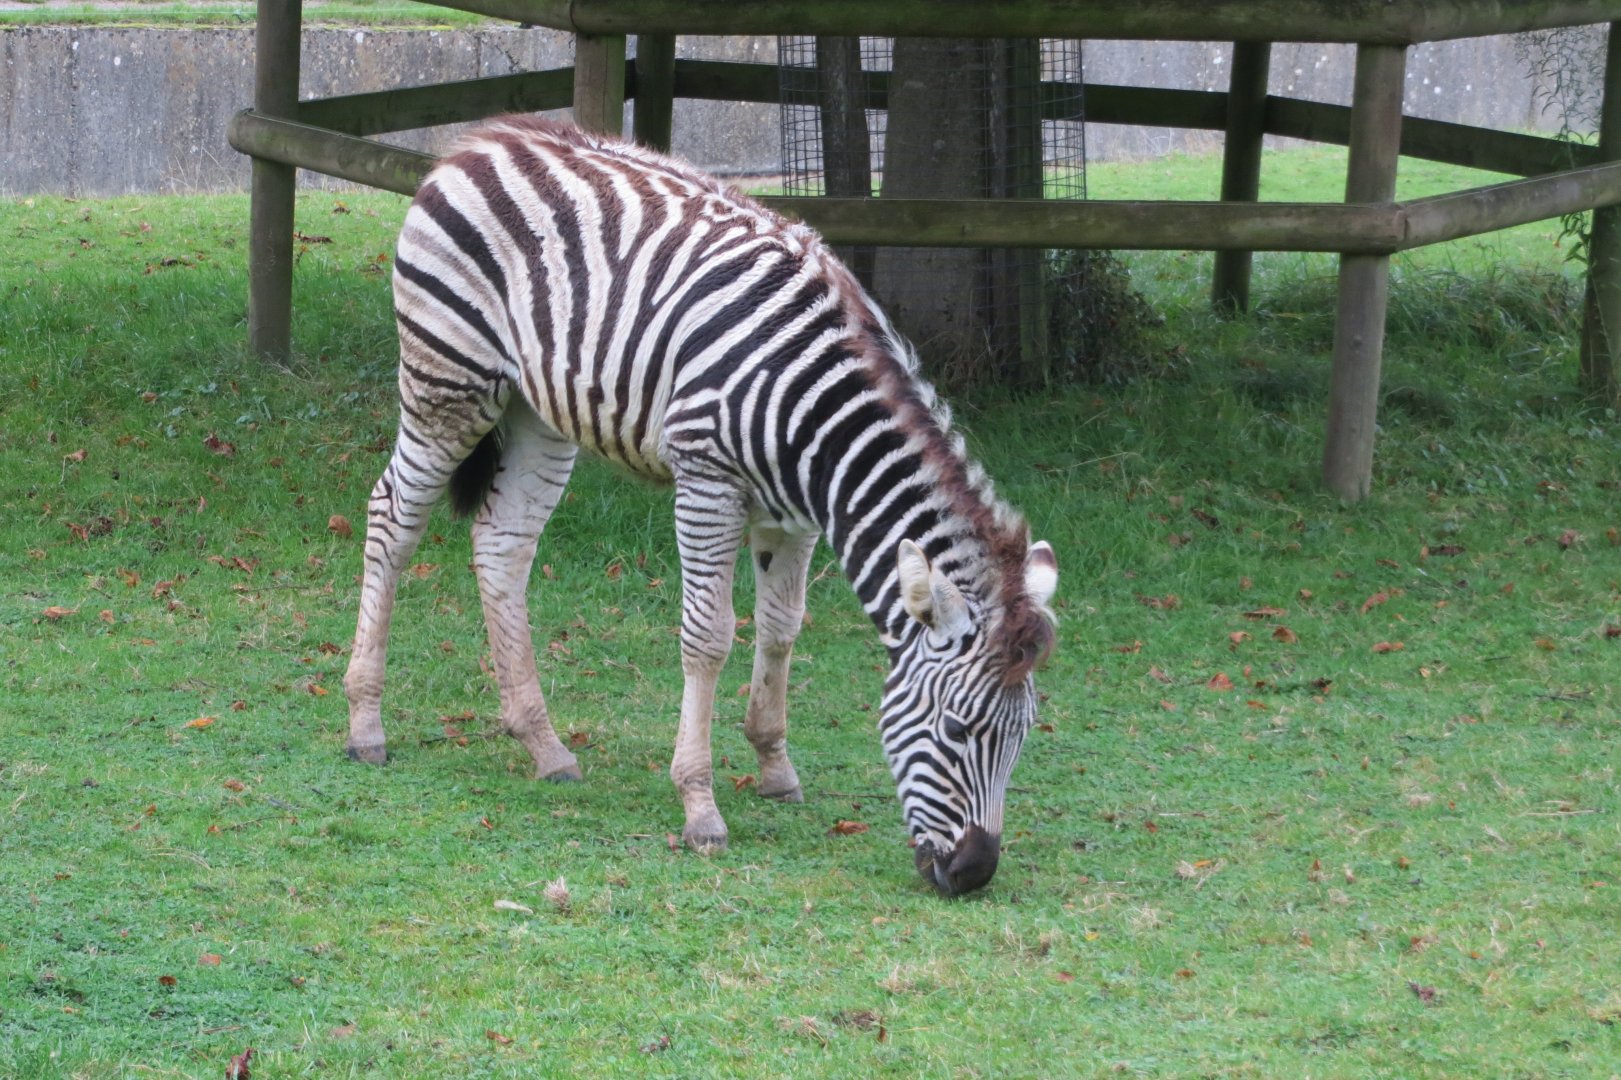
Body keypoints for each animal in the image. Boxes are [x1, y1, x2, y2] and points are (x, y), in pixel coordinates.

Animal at [342, 116, 1058, 896]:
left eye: (1023, 736)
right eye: (957, 730)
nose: (974, 872)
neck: (816, 416)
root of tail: (483, 139)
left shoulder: (793, 516)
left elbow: (782, 628)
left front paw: (775, 766)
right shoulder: (707, 480)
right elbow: (709, 637)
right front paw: (700, 806)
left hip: (538, 413)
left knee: (502, 546)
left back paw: (545, 745)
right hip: (449, 382)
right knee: (391, 519)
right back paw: (366, 724)